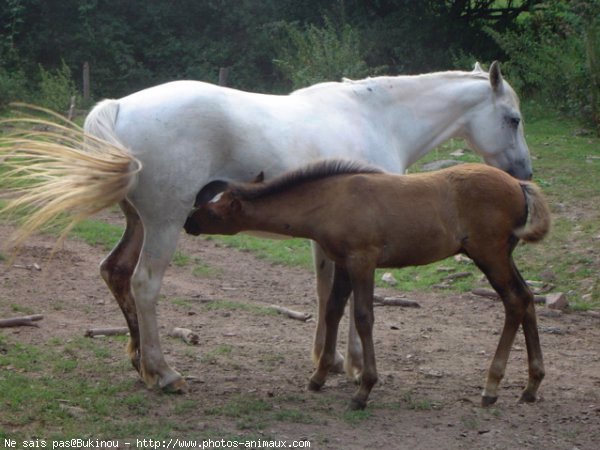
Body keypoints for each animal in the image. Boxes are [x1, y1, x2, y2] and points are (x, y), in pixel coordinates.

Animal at [3, 61, 528, 392]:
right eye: (513, 118)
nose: (523, 171)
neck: (375, 118)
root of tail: (120, 107)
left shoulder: (331, 240)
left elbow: (326, 295)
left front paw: (330, 361)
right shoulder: (361, 243)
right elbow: (352, 300)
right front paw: (355, 366)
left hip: (138, 224)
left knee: (114, 272)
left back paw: (140, 364)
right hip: (165, 226)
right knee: (144, 284)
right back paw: (165, 374)